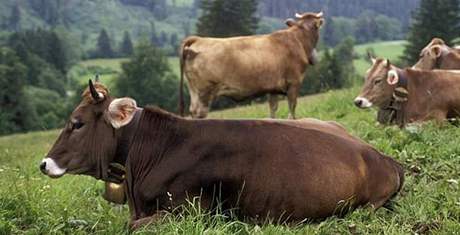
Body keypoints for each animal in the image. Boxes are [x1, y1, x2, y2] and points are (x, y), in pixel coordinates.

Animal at [41, 81, 404, 229]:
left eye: (77, 123)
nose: (44, 163)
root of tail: (385, 159)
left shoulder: (189, 212)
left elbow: (132, 227)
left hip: (364, 207)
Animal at [178, 11, 326, 118]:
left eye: (314, 26)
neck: (299, 39)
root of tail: (198, 39)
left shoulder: (273, 88)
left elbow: (273, 109)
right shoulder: (294, 82)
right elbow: (292, 107)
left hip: (193, 89)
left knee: (193, 111)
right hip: (205, 90)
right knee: (200, 113)